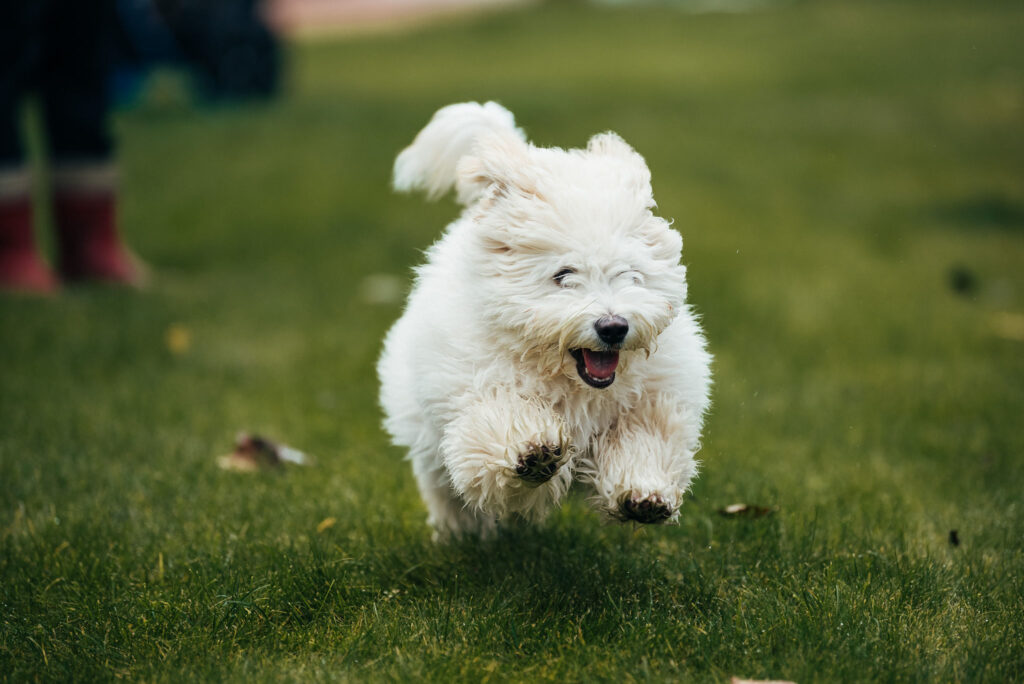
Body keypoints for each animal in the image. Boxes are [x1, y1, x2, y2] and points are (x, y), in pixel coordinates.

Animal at [378, 102, 712, 540]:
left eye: (629, 274)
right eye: (563, 274)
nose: (613, 327)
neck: (572, 384)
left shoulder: (652, 400)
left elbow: (645, 438)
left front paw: (643, 493)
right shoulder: (477, 391)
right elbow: (501, 423)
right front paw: (531, 451)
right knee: (444, 487)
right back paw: (461, 532)